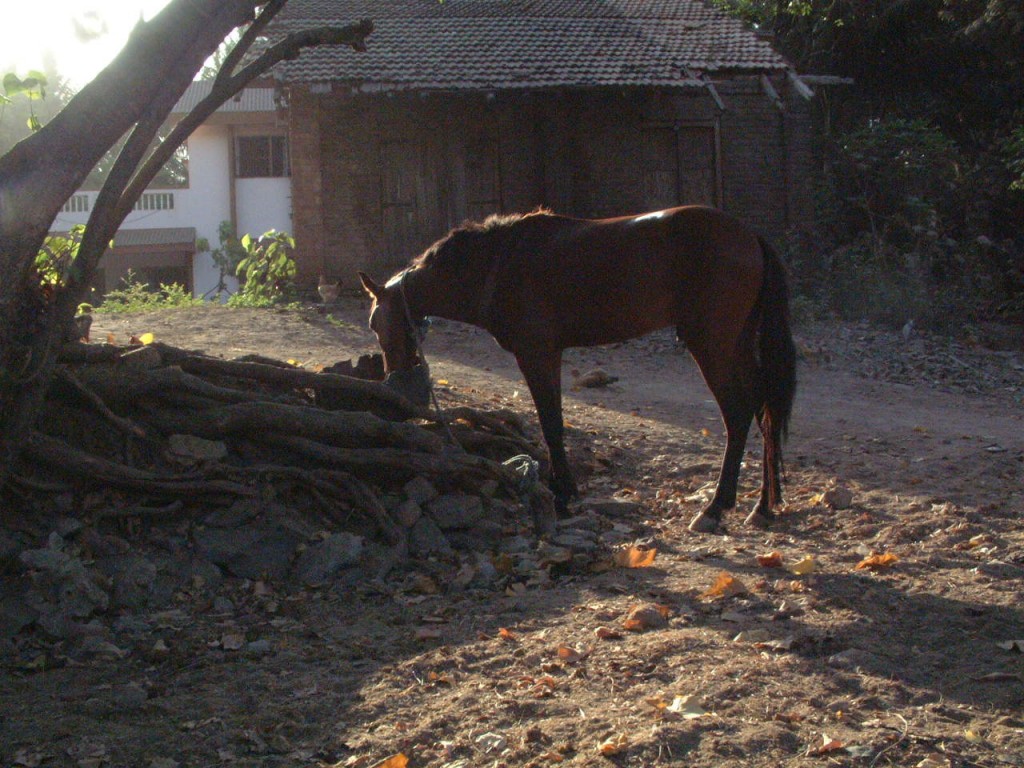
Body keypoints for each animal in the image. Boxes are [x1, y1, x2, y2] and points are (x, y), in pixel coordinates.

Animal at [360, 205, 798, 536]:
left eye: (375, 324)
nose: (397, 382)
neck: (497, 263)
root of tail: (748, 235)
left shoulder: (538, 355)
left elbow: (551, 424)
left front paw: (564, 495)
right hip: (738, 346)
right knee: (764, 411)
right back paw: (763, 506)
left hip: (711, 346)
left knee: (738, 414)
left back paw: (716, 508)